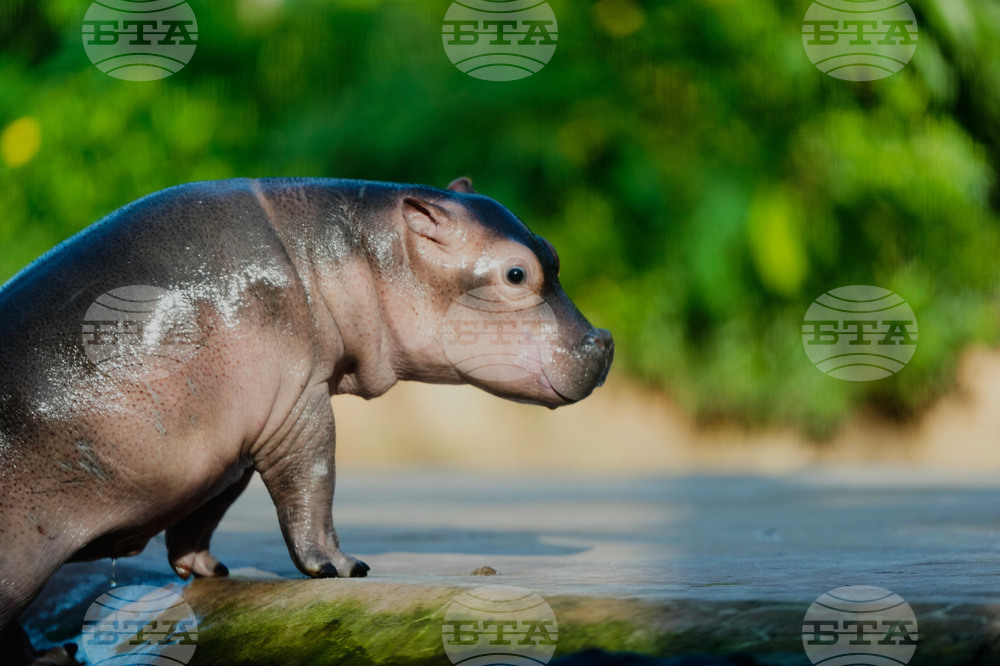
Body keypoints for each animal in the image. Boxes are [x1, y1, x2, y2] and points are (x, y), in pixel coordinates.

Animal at [0, 177, 613, 661]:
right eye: (517, 274)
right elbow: (312, 484)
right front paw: (344, 569)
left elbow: (210, 507)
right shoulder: (299, 406)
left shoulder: (243, 435)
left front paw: (205, 569)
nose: (602, 343)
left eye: (553, 252)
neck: (347, 252)